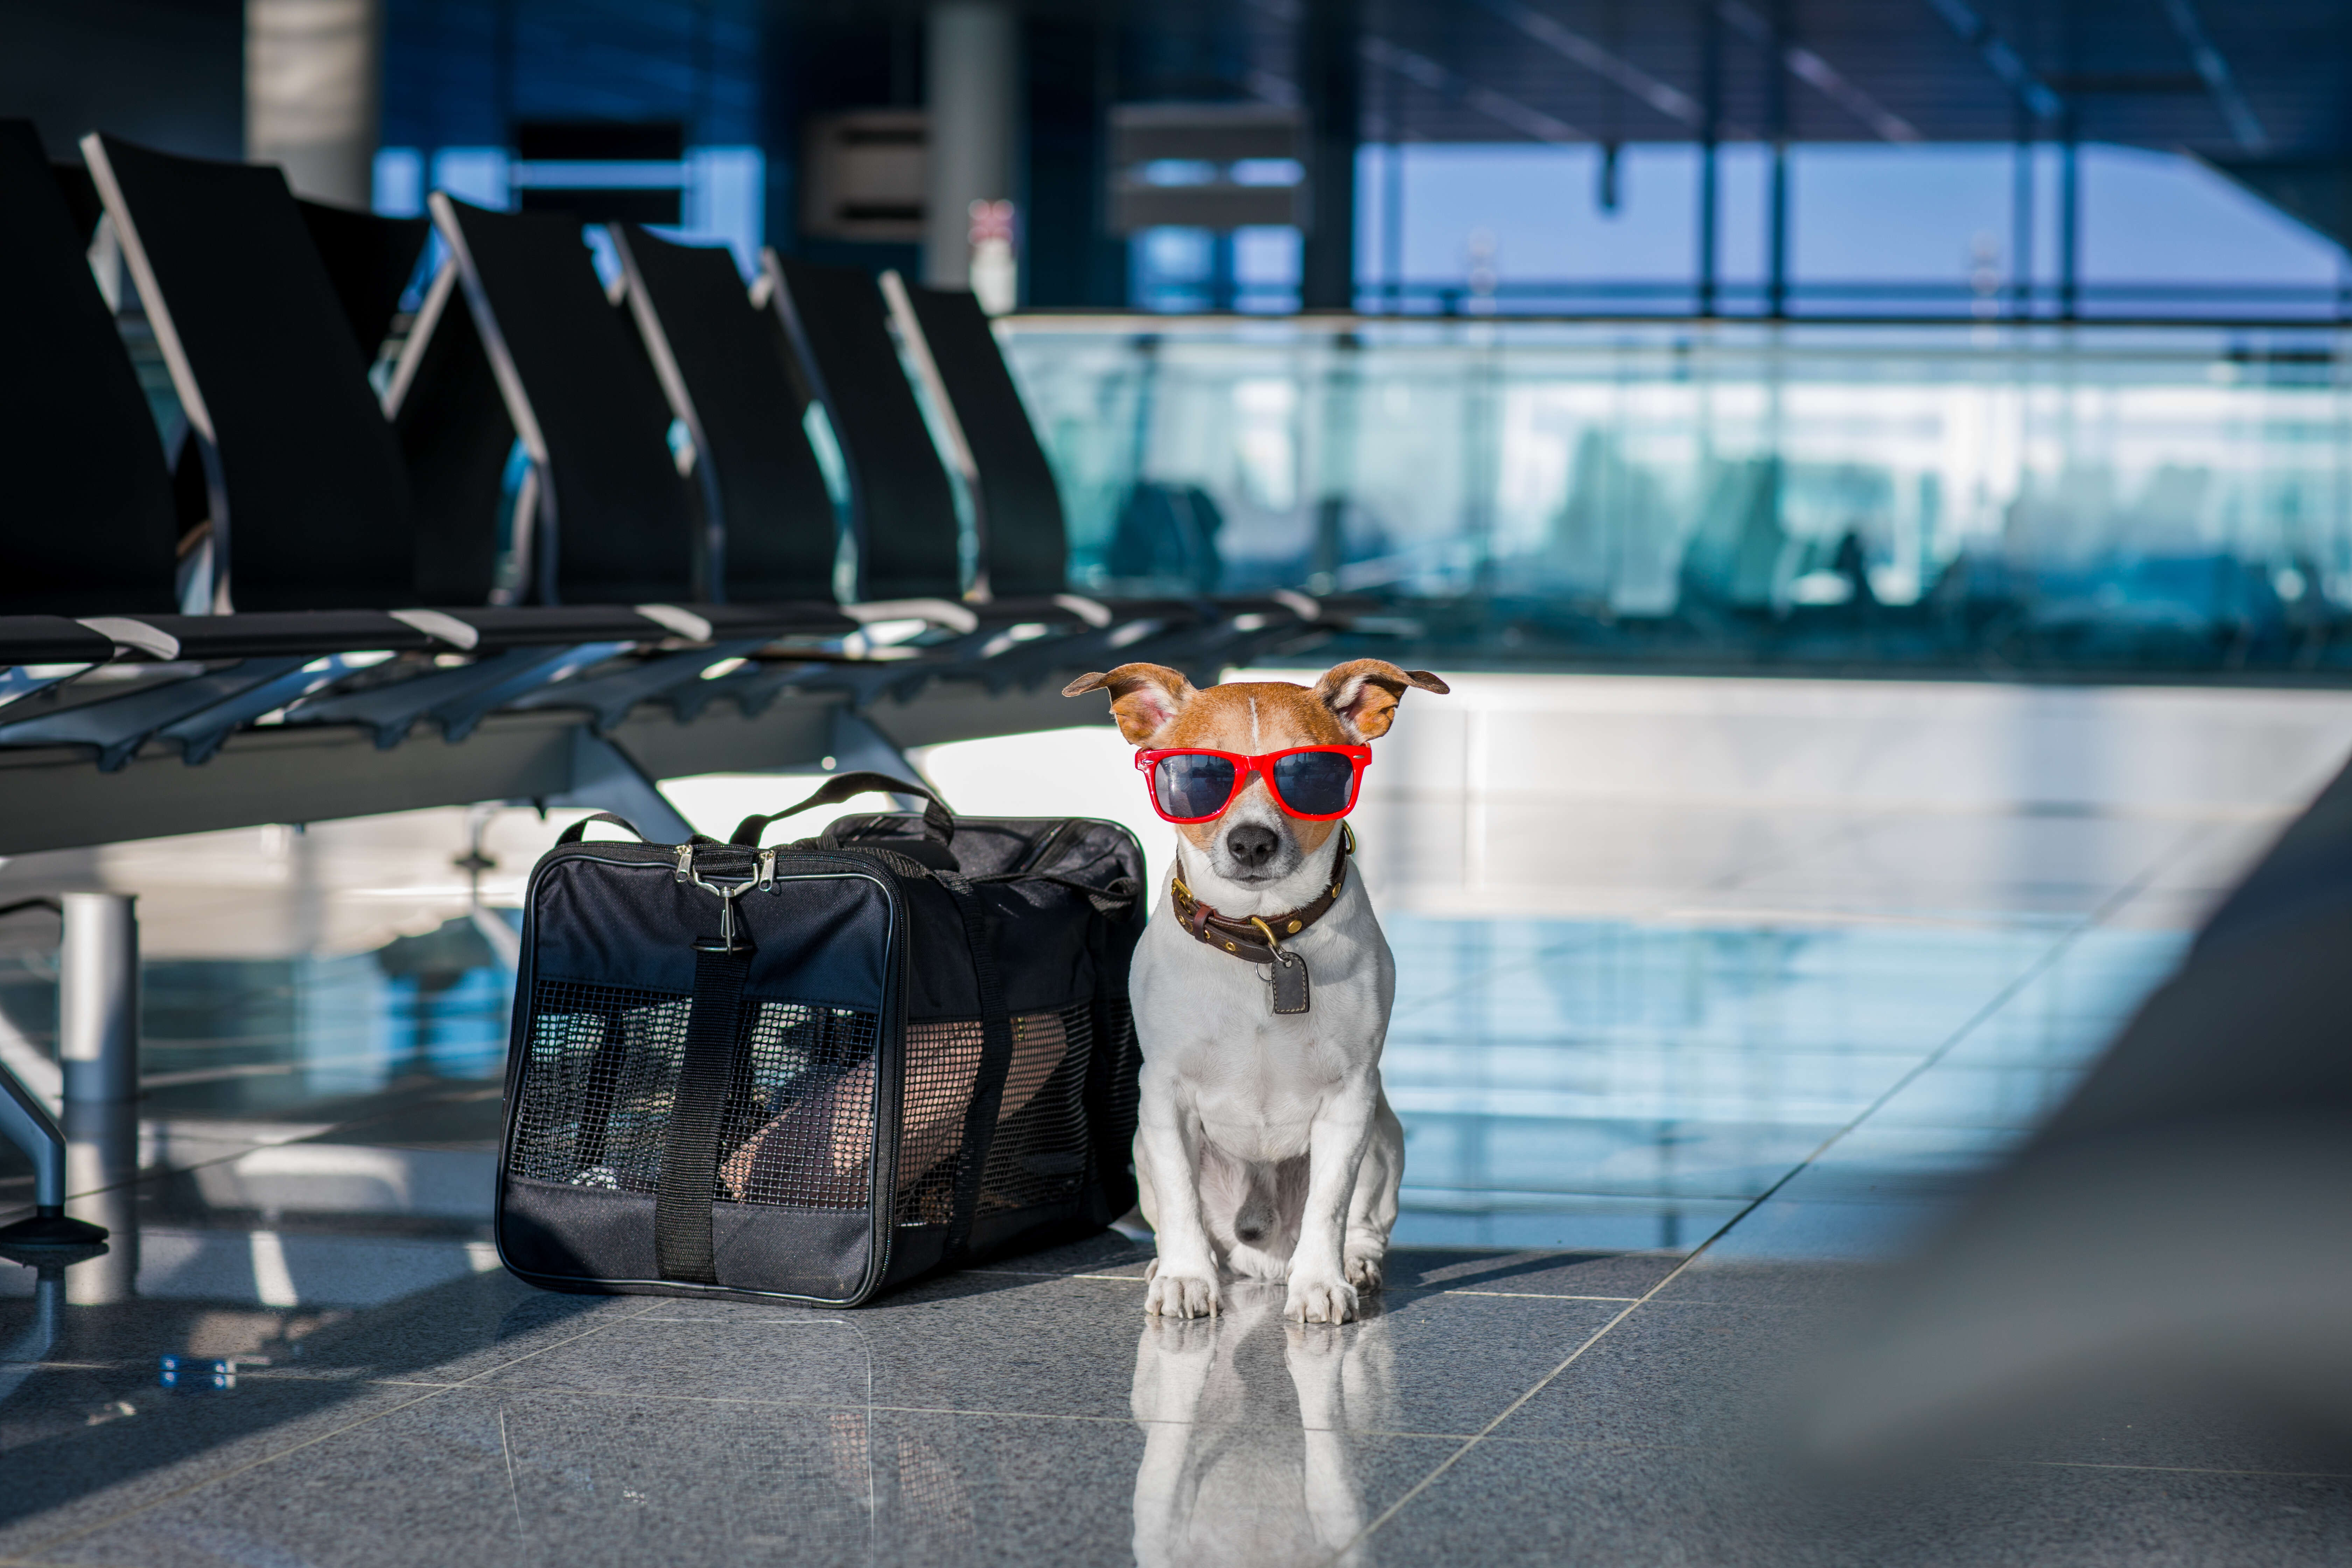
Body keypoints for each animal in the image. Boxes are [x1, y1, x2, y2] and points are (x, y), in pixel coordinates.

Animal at [1068, 658, 1449, 1326]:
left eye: (1311, 773)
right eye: (1198, 775)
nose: (1251, 842)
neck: (1263, 934)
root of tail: (1262, 1258)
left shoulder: (1350, 1097)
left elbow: (1330, 1205)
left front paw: (1321, 1283)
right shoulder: (1164, 1097)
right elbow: (1181, 1200)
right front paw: (1186, 1277)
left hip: (1382, 1133)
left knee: (1363, 1223)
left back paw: (1352, 1263)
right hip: (1143, 1142)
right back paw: (1171, 1263)